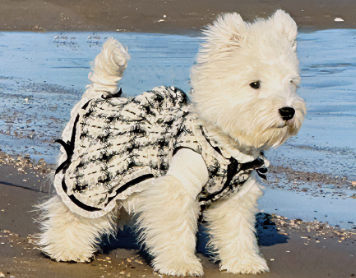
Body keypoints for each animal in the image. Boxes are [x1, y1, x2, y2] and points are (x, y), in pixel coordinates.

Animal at [38, 9, 306, 276]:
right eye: (255, 84)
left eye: (291, 83)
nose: (288, 111)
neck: (223, 148)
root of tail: (99, 96)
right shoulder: (177, 188)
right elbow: (176, 231)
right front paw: (181, 264)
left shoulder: (236, 198)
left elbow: (238, 231)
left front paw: (244, 261)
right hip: (90, 188)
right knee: (69, 215)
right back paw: (67, 249)